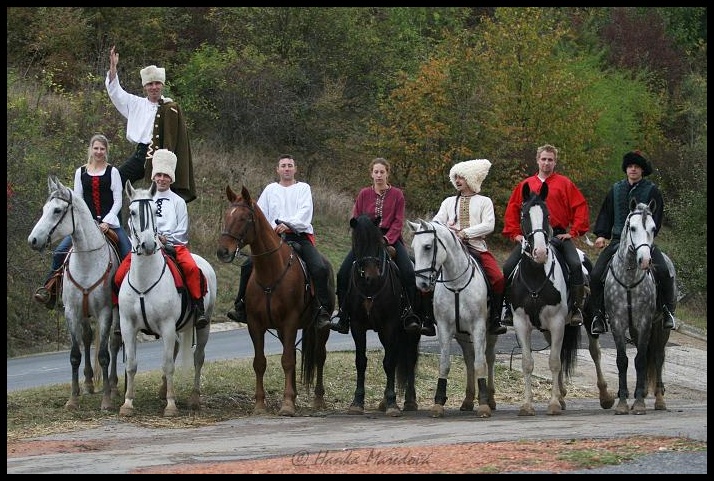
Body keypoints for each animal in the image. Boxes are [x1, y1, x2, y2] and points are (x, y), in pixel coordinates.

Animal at [27, 176, 121, 408]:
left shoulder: (105, 313)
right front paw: (73, 398)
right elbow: (75, 354)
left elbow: (104, 355)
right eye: (45, 209)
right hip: (84, 313)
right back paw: (87, 384)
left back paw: (114, 386)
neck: (88, 262)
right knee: (87, 338)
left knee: (114, 344)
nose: (33, 241)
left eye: (57, 210)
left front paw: (106, 400)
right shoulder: (71, 311)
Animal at [118, 181, 217, 416]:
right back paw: (163, 391)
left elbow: (169, 364)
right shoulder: (128, 326)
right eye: (133, 212)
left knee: (198, 358)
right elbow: (131, 365)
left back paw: (193, 398)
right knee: (175, 351)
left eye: (155, 210)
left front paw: (171, 406)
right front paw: (127, 403)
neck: (144, 280)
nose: (148, 245)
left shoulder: (167, 325)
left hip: (203, 325)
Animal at [216, 185, 332, 416]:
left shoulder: (290, 321)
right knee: (294, 355)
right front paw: (260, 405)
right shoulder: (256, 324)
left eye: (244, 218)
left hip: (321, 328)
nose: (223, 251)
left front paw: (286, 405)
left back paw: (317, 399)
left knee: (319, 356)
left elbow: (286, 361)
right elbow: (260, 362)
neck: (271, 271)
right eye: (227, 216)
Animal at [342, 216, 420, 414]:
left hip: (411, 331)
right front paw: (357, 401)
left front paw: (392, 402)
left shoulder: (390, 325)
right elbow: (361, 361)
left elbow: (389, 362)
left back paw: (409, 401)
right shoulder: (357, 325)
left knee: (410, 360)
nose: (372, 276)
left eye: (378, 243)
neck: (370, 288)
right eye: (358, 242)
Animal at [406, 218, 496, 416]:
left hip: (489, 333)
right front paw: (438, 402)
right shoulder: (445, 328)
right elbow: (445, 363)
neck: (457, 283)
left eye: (427, 246)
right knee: (469, 359)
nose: (421, 283)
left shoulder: (478, 327)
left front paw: (483, 404)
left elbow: (480, 363)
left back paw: (490, 399)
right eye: (413, 247)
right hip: (462, 335)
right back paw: (468, 400)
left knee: (488, 358)